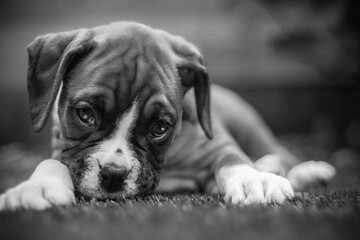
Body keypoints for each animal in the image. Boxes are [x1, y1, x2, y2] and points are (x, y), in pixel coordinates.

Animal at [0, 22, 334, 210]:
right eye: (85, 115)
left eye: (160, 127)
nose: (114, 174)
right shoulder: (66, 151)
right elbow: (52, 163)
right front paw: (37, 187)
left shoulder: (218, 145)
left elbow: (233, 159)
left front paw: (255, 180)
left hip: (252, 128)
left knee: (278, 153)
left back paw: (299, 169)